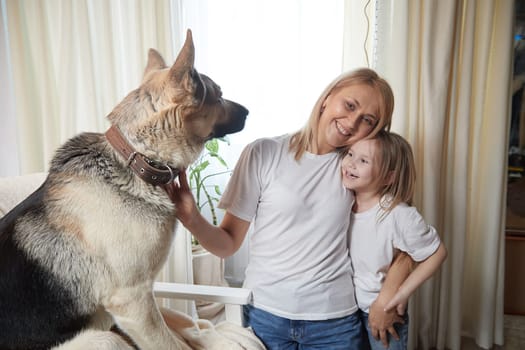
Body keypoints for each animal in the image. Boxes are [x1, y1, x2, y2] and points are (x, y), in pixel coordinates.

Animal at [0, 30, 248, 350]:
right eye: (218, 95)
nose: (248, 112)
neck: (135, 158)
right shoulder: (133, 301)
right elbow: (170, 343)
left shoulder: (142, 302)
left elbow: (180, 330)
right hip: (106, 339)